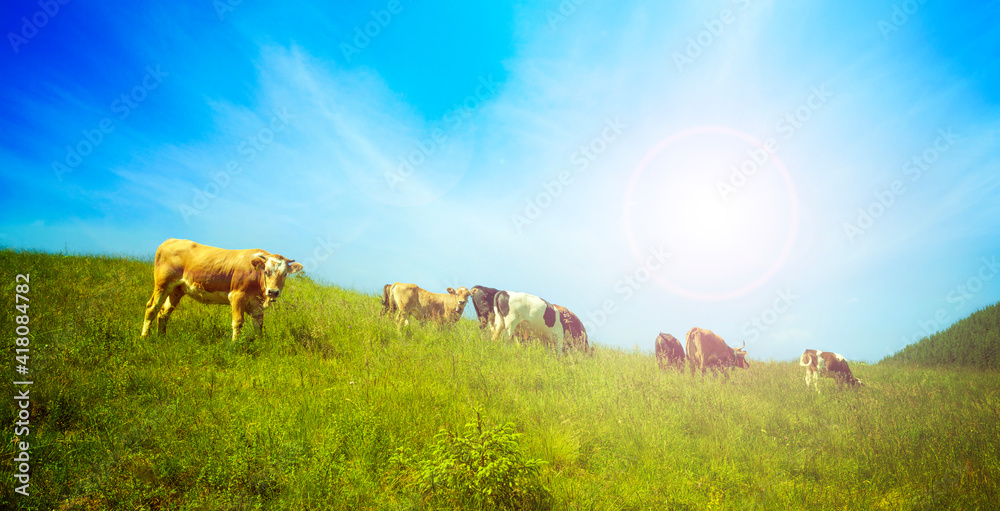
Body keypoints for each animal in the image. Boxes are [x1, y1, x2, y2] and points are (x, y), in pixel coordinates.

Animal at [141, 239, 302, 342]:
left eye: (284, 274)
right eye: (266, 272)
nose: (273, 292)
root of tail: (171, 240)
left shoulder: (257, 305)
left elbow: (258, 326)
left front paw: (260, 344)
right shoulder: (237, 296)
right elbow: (237, 322)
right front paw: (235, 344)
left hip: (177, 290)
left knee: (164, 312)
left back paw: (161, 337)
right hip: (163, 284)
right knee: (152, 307)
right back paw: (144, 338)